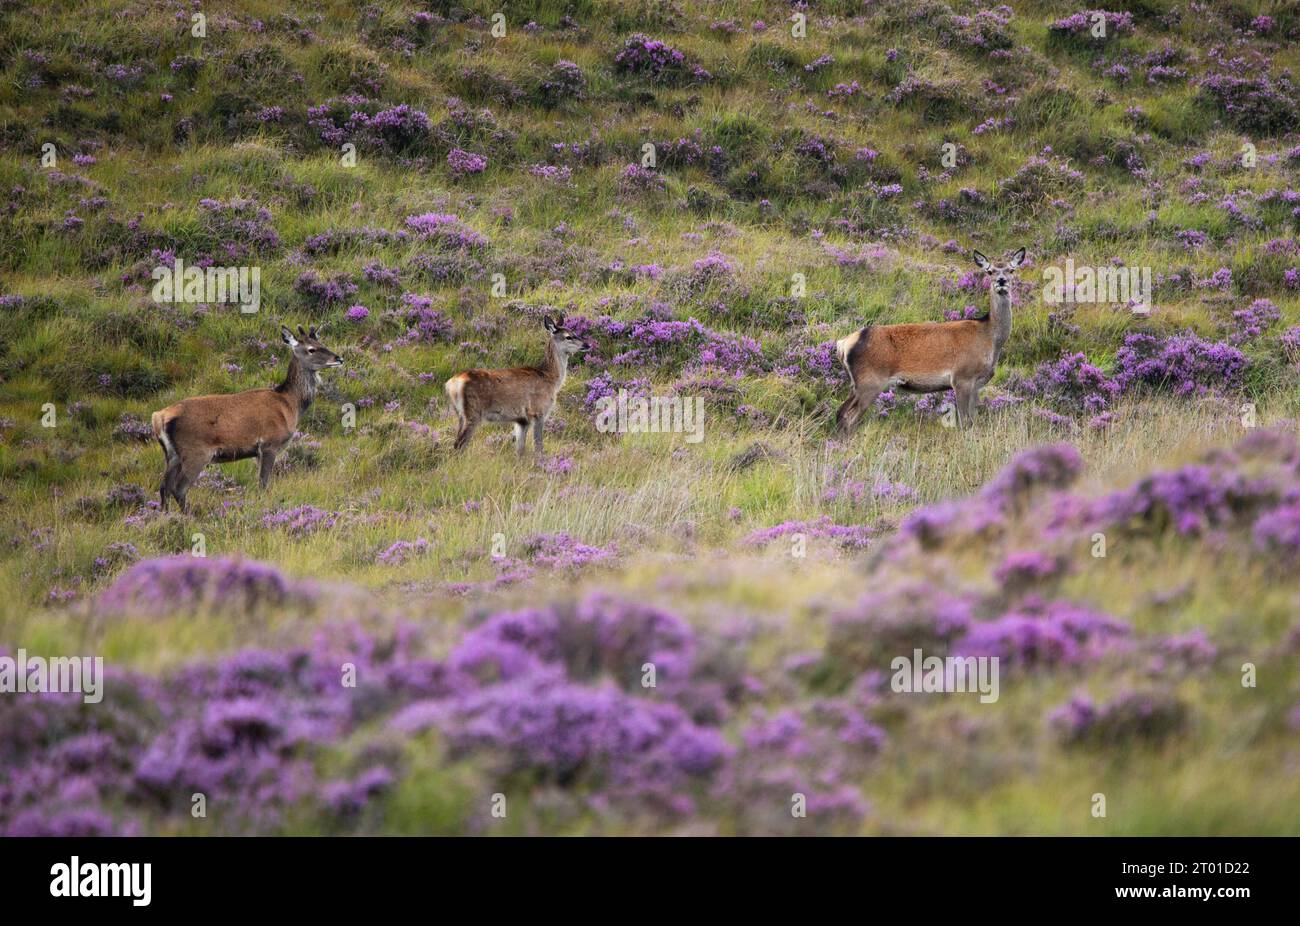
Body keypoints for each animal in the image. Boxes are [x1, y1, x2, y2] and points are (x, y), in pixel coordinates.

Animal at [150, 323, 343, 512]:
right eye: (312, 349)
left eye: (322, 343)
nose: (339, 358)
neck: (290, 405)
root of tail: (159, 417)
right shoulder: (269, 444)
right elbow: (263, 484)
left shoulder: (257, 452)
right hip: (196, 452)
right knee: (179, 488)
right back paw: (188, 516)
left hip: (172, 454)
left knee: (164, 487)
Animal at [447, 313, 590, 455]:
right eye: (568, 336)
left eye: (575, 332)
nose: (587, 344)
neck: (551, 379)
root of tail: (452, 384)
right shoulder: (538, 411)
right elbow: (538, 447)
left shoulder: (522, 420)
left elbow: (520, 450)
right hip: (473, 413)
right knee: (458, 445)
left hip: (459, 414)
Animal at [832, 248, 1024, 431]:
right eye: (990, 271)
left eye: (1011, 270)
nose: (1001, 281)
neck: (990, 338)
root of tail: (843, 344)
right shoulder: (962, 377)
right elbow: (965, 422)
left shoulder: (977, 384)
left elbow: (973, 420)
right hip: (870, 382)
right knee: (848, 417)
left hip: (857, 384)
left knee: (840, 412)